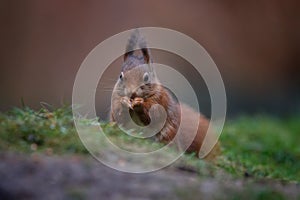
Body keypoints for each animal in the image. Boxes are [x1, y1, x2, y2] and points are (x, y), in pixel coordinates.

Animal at [109, 29, 219, 159]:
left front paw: (139, 104)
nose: (132, 92)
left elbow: (155, 115)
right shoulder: (115, 99)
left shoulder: (160, 100)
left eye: (146, 78)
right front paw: (124, 103)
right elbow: (118, 115)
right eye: (121, 76)